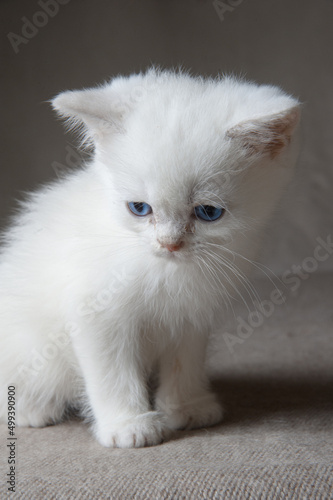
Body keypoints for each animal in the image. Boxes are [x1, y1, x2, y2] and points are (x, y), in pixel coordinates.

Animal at [0, 68, 300, 448]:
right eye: (139, 208)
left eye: (208, 212)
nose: (169, 243)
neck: (164, 270)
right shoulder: (96, 312)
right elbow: (111, 373)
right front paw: (129, 425)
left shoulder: (191, 314)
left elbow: (185, 361)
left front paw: (186, 407)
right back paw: (32, 409)